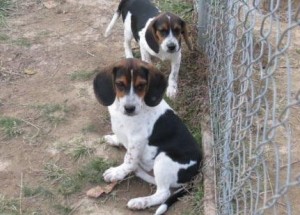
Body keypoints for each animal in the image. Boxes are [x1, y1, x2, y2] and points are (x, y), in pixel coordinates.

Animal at [93, 58, 202, 214]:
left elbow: (128, 160)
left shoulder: (137, 140)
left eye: (141, 85)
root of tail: (197, 170)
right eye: (119, 84)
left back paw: (140, 202)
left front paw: (117, 172)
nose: (129, 108)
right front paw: (114, 139)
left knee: (163, 193)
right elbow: (122, 142)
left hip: (164, 158)